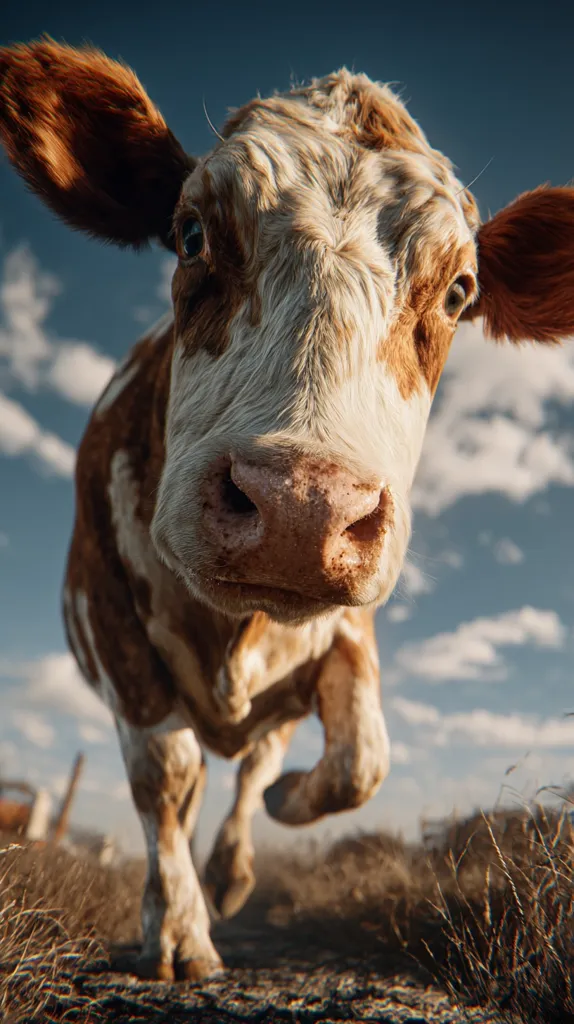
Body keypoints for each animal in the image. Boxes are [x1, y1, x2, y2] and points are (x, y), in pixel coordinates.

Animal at [1, 37, 573, 982]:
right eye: (192, 232)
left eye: (460, 290)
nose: (303, 506)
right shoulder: (105, 603)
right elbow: (164, 774)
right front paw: (178, 932)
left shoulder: (348, 627)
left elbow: (360, 762)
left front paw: (274, 812)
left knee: (254, 758)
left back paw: (235, 864)